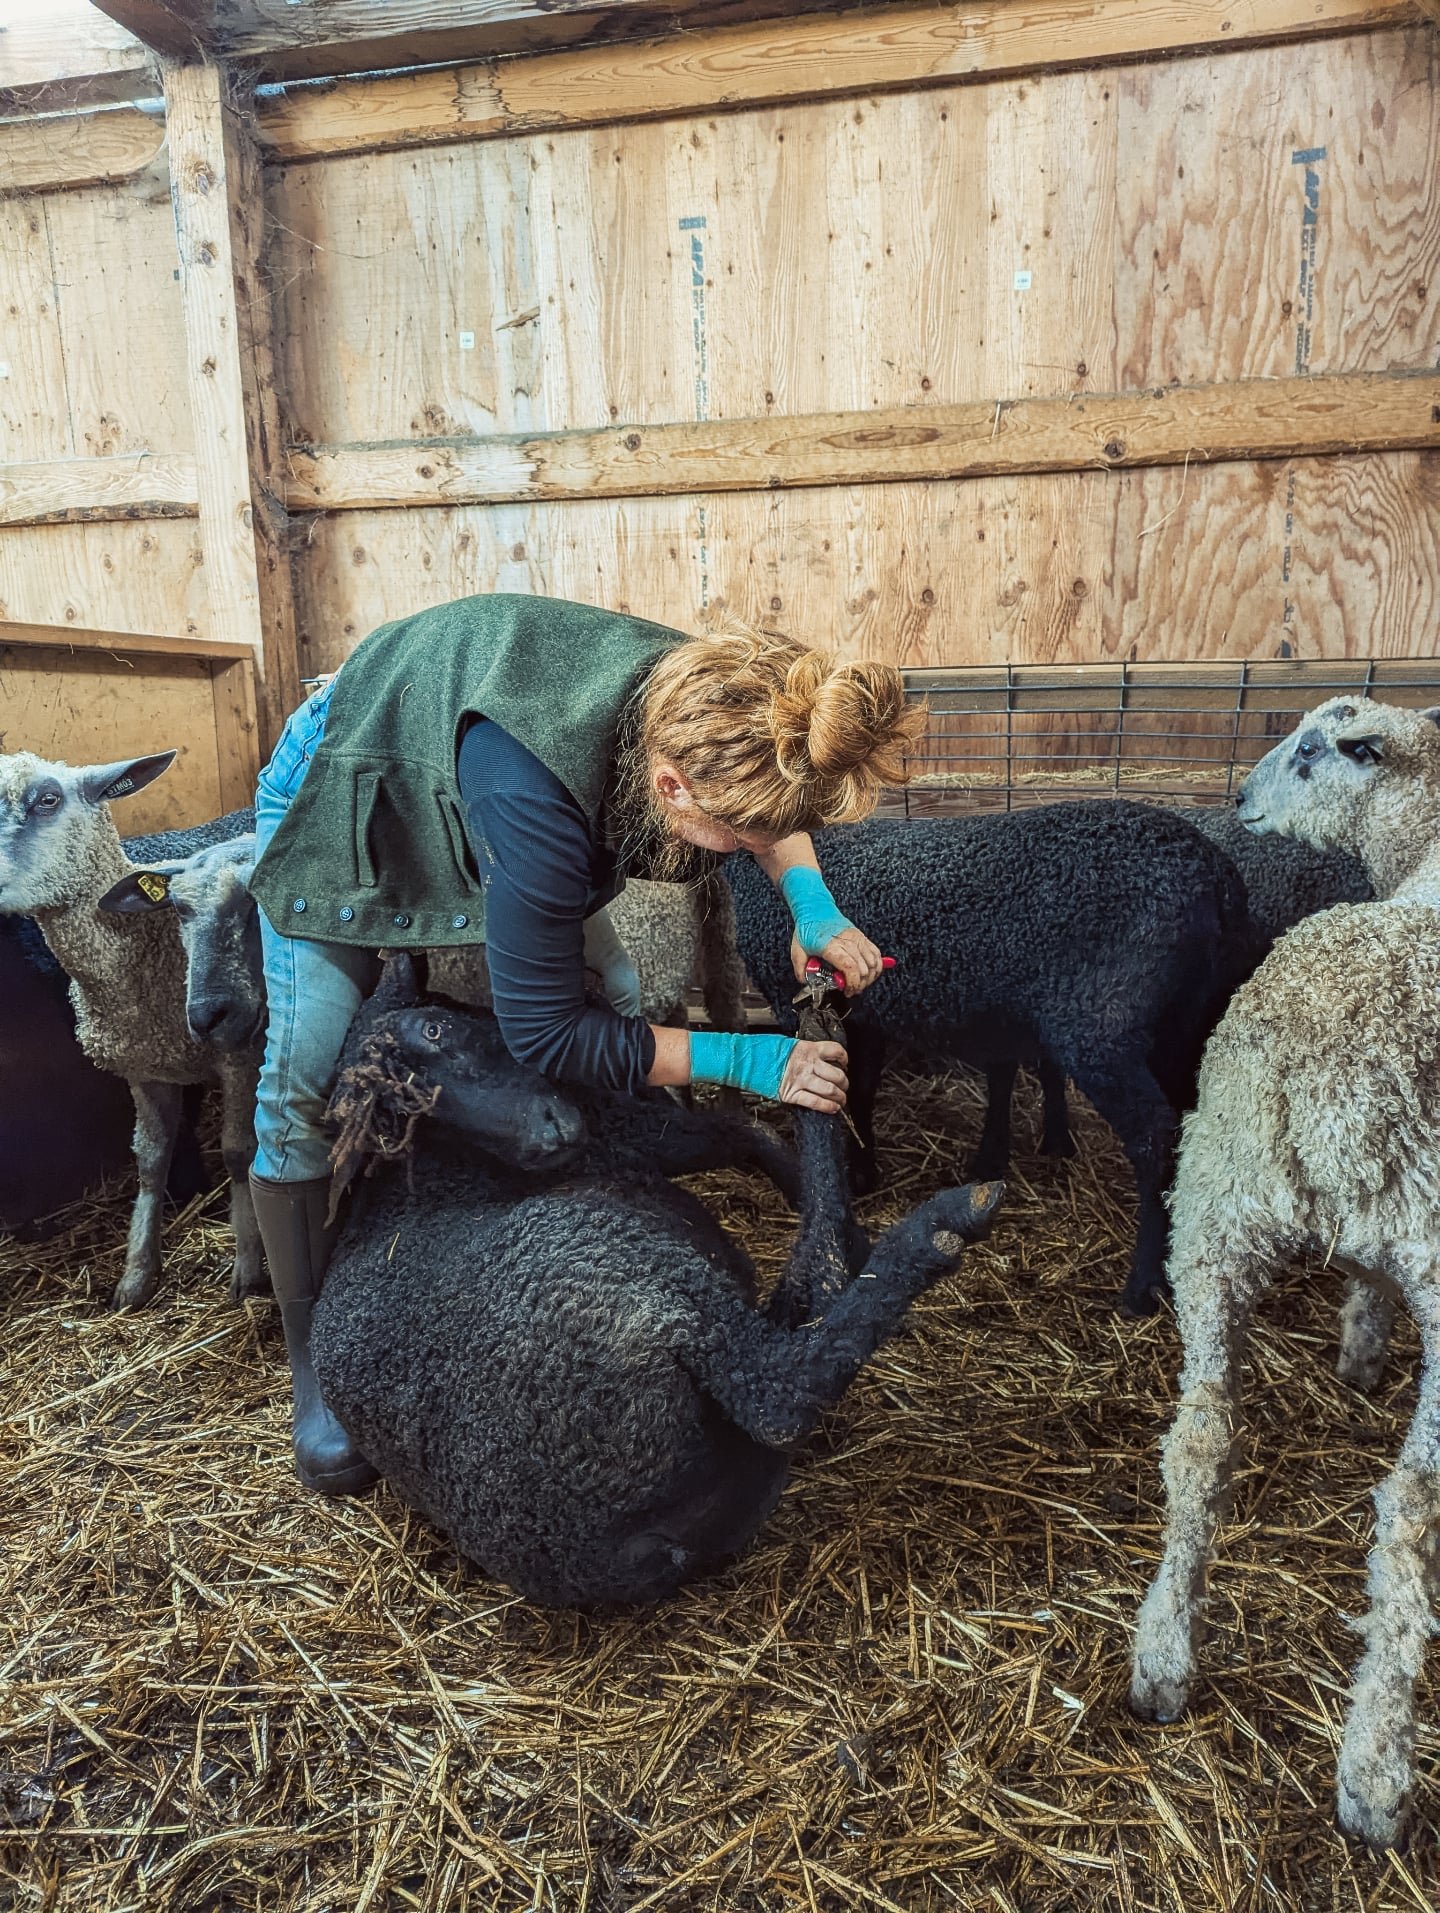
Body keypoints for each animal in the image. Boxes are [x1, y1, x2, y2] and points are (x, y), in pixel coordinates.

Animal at [0, 751, 264, 1310]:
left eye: (48, 799)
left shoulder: (241, 1057)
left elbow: (238, 1150)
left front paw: (249, 1266)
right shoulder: (142, 1069)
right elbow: (148, 1160)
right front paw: (136, 1274)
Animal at [310, 955, 1001, 1607]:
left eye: (434, 1029)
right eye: (397, 1112)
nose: (545, 1136)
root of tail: (592, 1556)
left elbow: (742, 1134)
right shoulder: (629, 1135)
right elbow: (737, 1131)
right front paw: (801, 1061)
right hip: (636, 1282)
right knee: (778, 1390)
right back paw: (937, 1221)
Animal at [726, 800, 1257, 1317]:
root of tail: (1217, 871)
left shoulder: (796, 996)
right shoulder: (865, 1011)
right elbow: (862, 1090)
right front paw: (865, 1171)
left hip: (1103, 1020)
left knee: (1154, 1136)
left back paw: (1143, 1285)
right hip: (1187, 1017)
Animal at [1129, 695, 1440, 1850]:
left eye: (1313, 751)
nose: (1240, 798)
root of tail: (1341, 1101)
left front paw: (1356, 1350)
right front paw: (1361, 1351)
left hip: (1217, 1203)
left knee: (1202, 1438)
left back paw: (1163, 1657)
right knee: (1414, 1513)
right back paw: (1376, 1770)